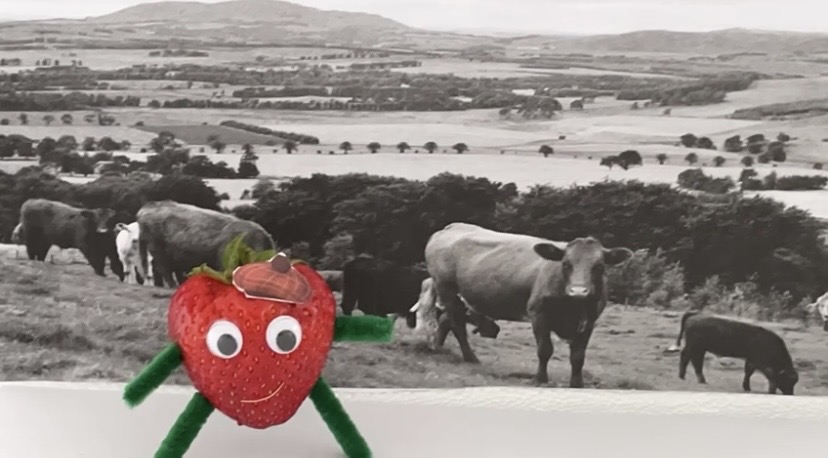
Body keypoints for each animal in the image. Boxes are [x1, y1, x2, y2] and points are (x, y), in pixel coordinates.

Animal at [424, 222, 632, 386]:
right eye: (566, 264)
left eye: (599, 266)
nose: (579, 291)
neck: (572, 308)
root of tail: (452, 227)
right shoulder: (538, 314)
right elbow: (545, 350)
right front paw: (540, 379)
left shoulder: (589, 321)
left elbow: (578, 356)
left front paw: (577, 384)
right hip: (446, 287)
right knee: (457, 324)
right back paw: (470, 358)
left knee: (446, 319)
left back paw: (437, 348)